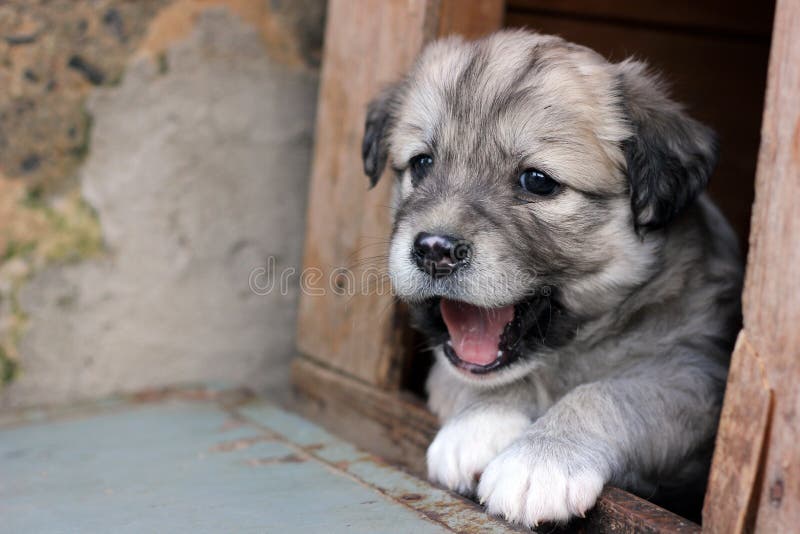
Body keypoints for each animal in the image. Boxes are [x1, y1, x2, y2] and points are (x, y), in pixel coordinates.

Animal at [360, 30, 740, 528]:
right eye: (422, 164)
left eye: (537, 181)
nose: (435, 250)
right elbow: (475, 377)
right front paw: (480, 423)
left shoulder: (692, 374)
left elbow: (606, 394)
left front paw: (541, 460)